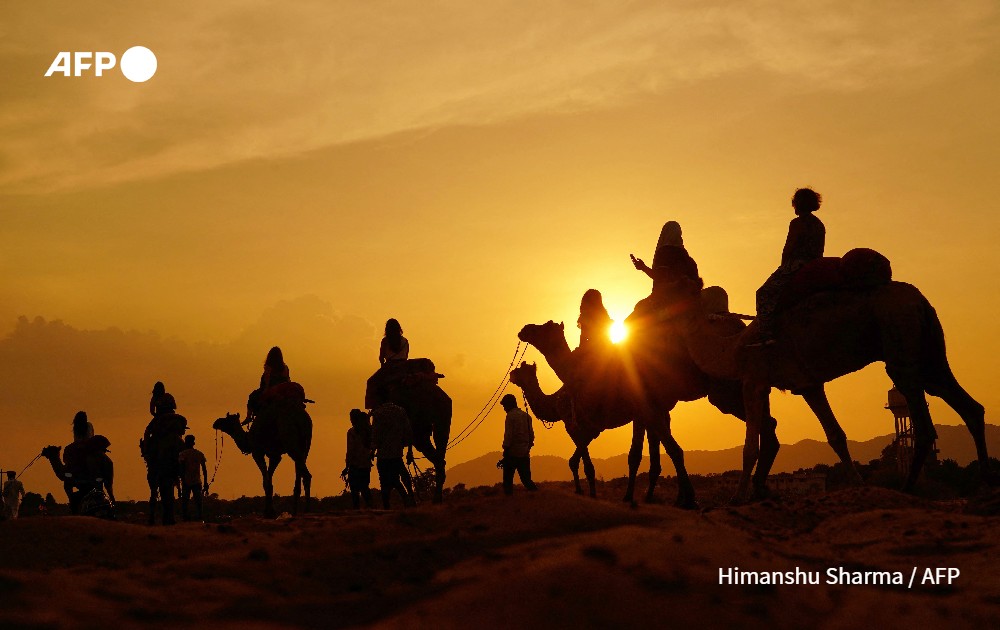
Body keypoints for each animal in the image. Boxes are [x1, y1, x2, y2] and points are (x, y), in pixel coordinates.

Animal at [664, 282, 992, 504]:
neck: (730, 350)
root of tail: (920, 300)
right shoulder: (807, 385)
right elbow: (835, 435)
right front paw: (858, 484)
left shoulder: (753, 380)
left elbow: (749, 447)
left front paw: (737, 497)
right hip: (930, 351)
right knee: (968, 406)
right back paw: (984, 486)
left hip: (901, 343)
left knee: (923, 423)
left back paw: (908, 488)